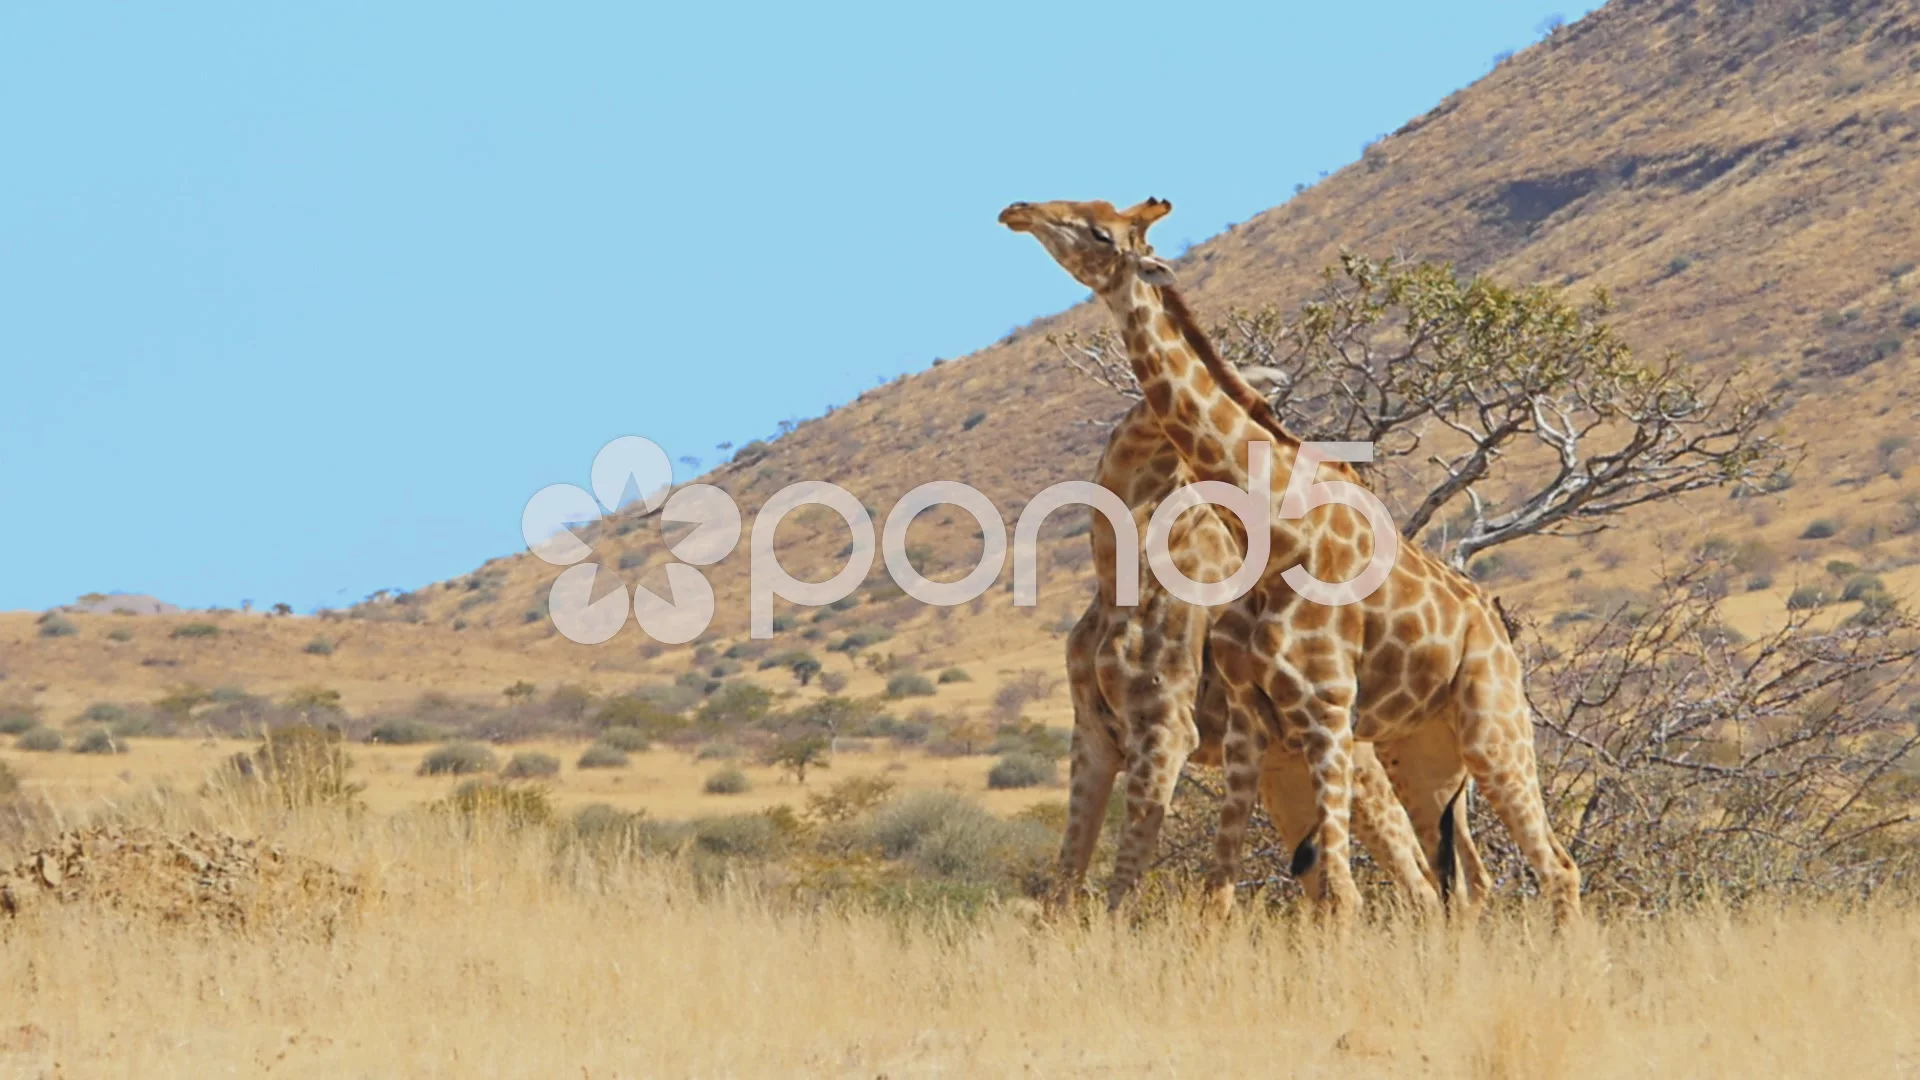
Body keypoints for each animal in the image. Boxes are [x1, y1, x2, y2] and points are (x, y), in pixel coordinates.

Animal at [1002, 197, 1580, 925]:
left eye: (1102, 232)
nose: (1018, 211)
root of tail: (1491, 618)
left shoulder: (1225, 724)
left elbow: (1321, 893)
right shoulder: (1162, 730)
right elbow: (1165, 892)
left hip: (1483, 728)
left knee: (1539, 869)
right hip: (1418, 753)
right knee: (1463, 883)